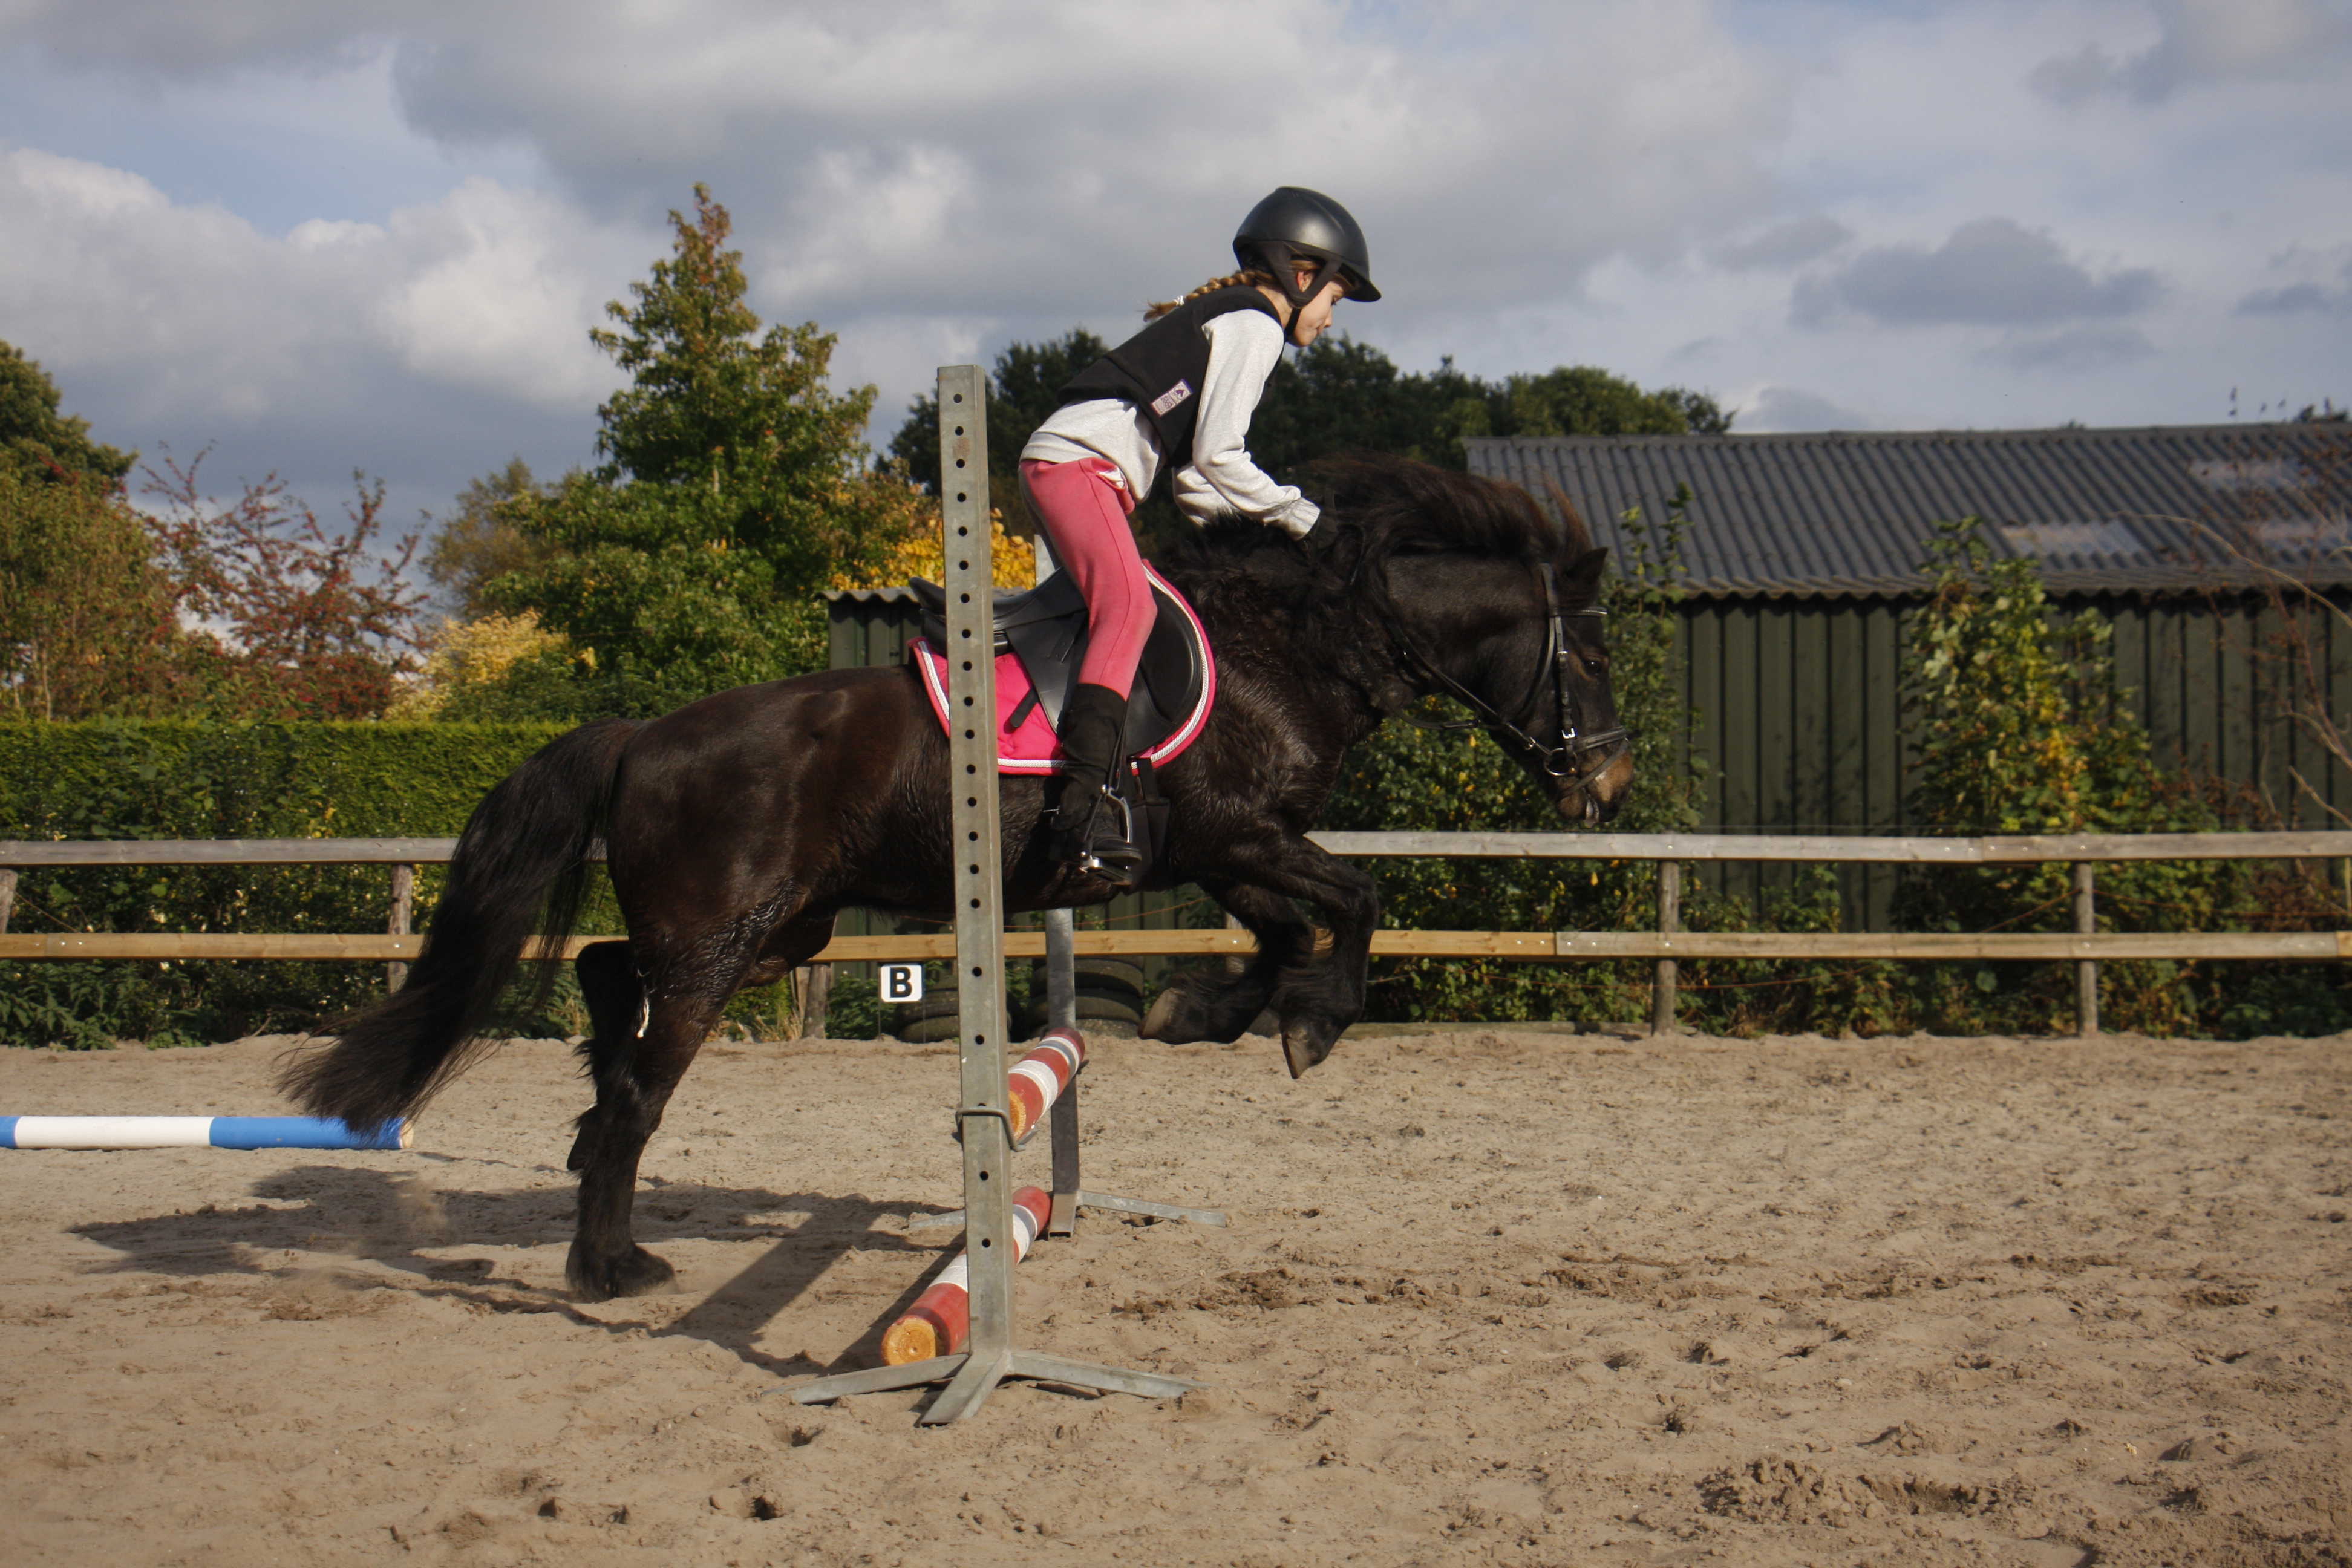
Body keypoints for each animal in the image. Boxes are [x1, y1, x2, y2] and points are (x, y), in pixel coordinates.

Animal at [282, 454, 1635, 1301]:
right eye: (1589, 655)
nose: (1610, 784)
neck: (1300, 643)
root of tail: (642, 734)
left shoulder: (1222, 850)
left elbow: (1288, 935)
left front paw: (1203, 1015)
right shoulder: (1238, 836)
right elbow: (1354, 905)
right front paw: (1311, 1028)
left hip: (781, 929)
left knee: (614, 981)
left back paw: (591, 1173)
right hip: (727, 940)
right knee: (639, 1093)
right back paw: (607, 1267)